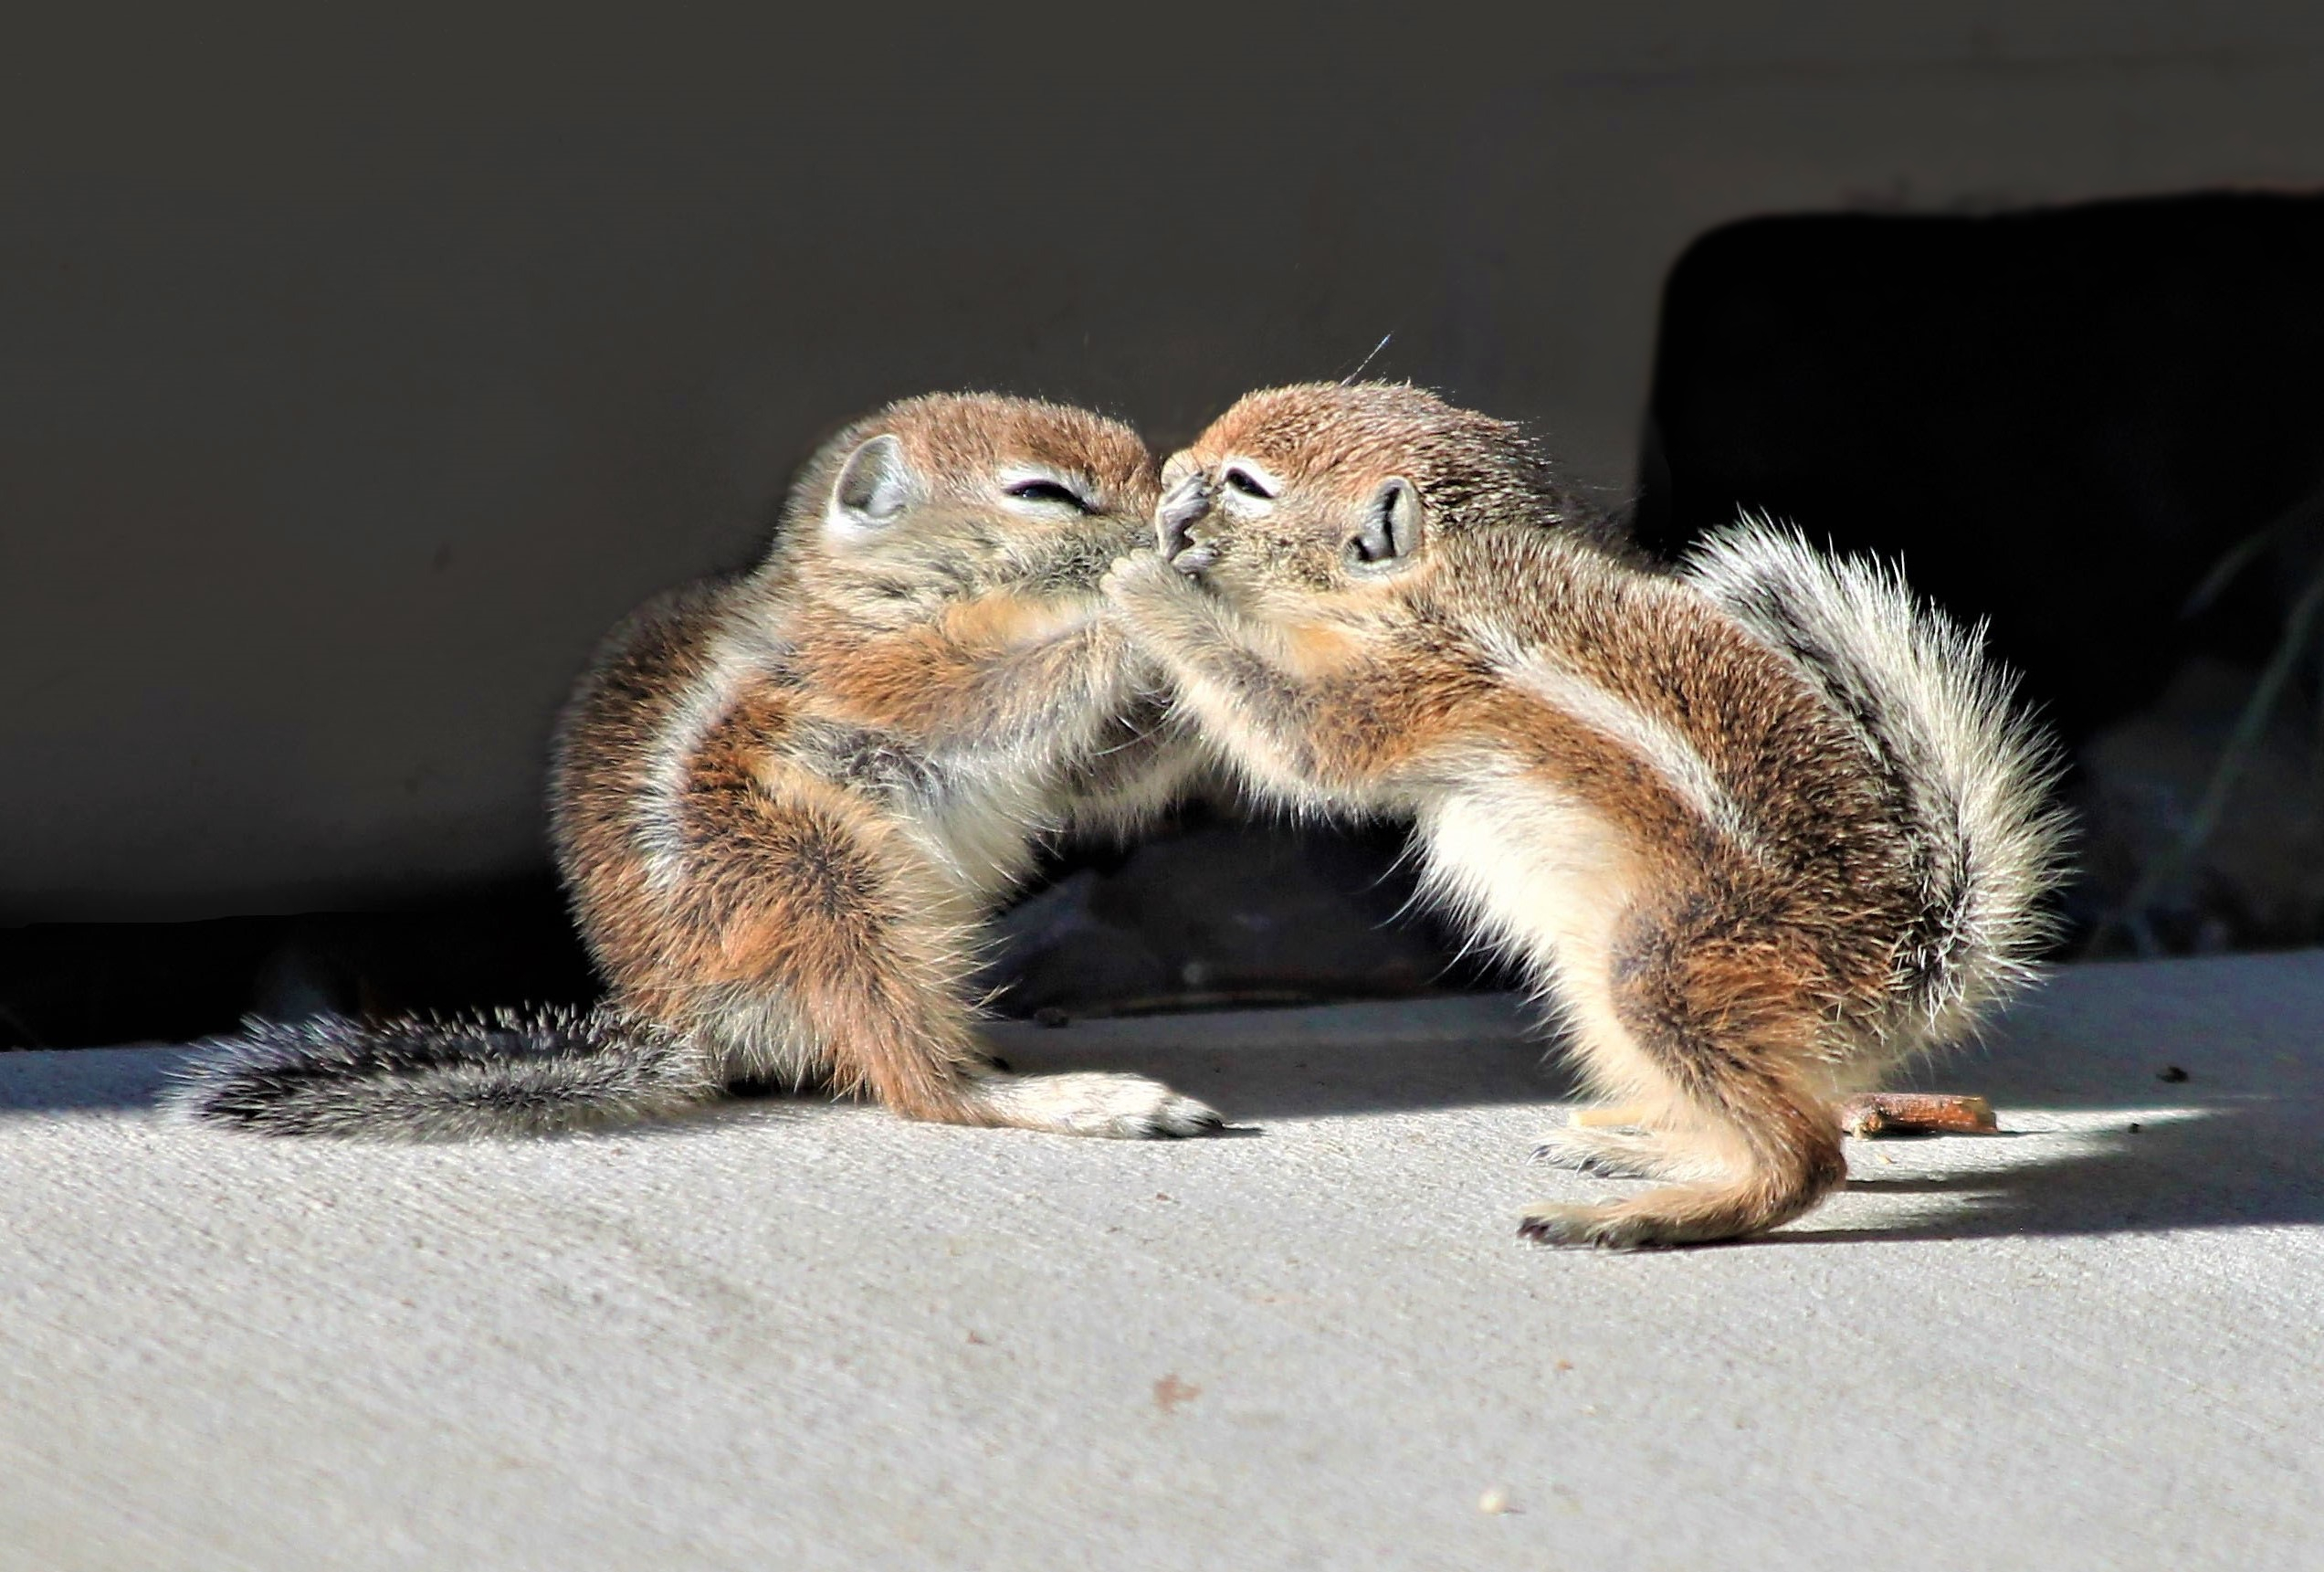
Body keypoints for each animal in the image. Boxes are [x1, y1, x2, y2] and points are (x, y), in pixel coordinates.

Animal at [174, 393, 1226, 1144]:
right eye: (1045, 494)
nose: (1168, 515)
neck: (871, 588)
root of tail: (688, 1024)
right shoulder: (869, 668)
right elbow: (993, 691)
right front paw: (1145, 598)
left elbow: (1095, 771)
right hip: (822, 875)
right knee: (916, 1080)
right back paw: (1084, 1098)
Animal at [1106, 384, 2073, 1255]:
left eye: (1246, 483)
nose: (1173, 471)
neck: (1452, 569)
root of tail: (1909, 959)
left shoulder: (1415, 676)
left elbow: (1301, 738)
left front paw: (1149, 582)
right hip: (1600, 985)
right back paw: (1637, 1147)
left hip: (1663, 967)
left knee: (1806, 1158)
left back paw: (1645, 1216)